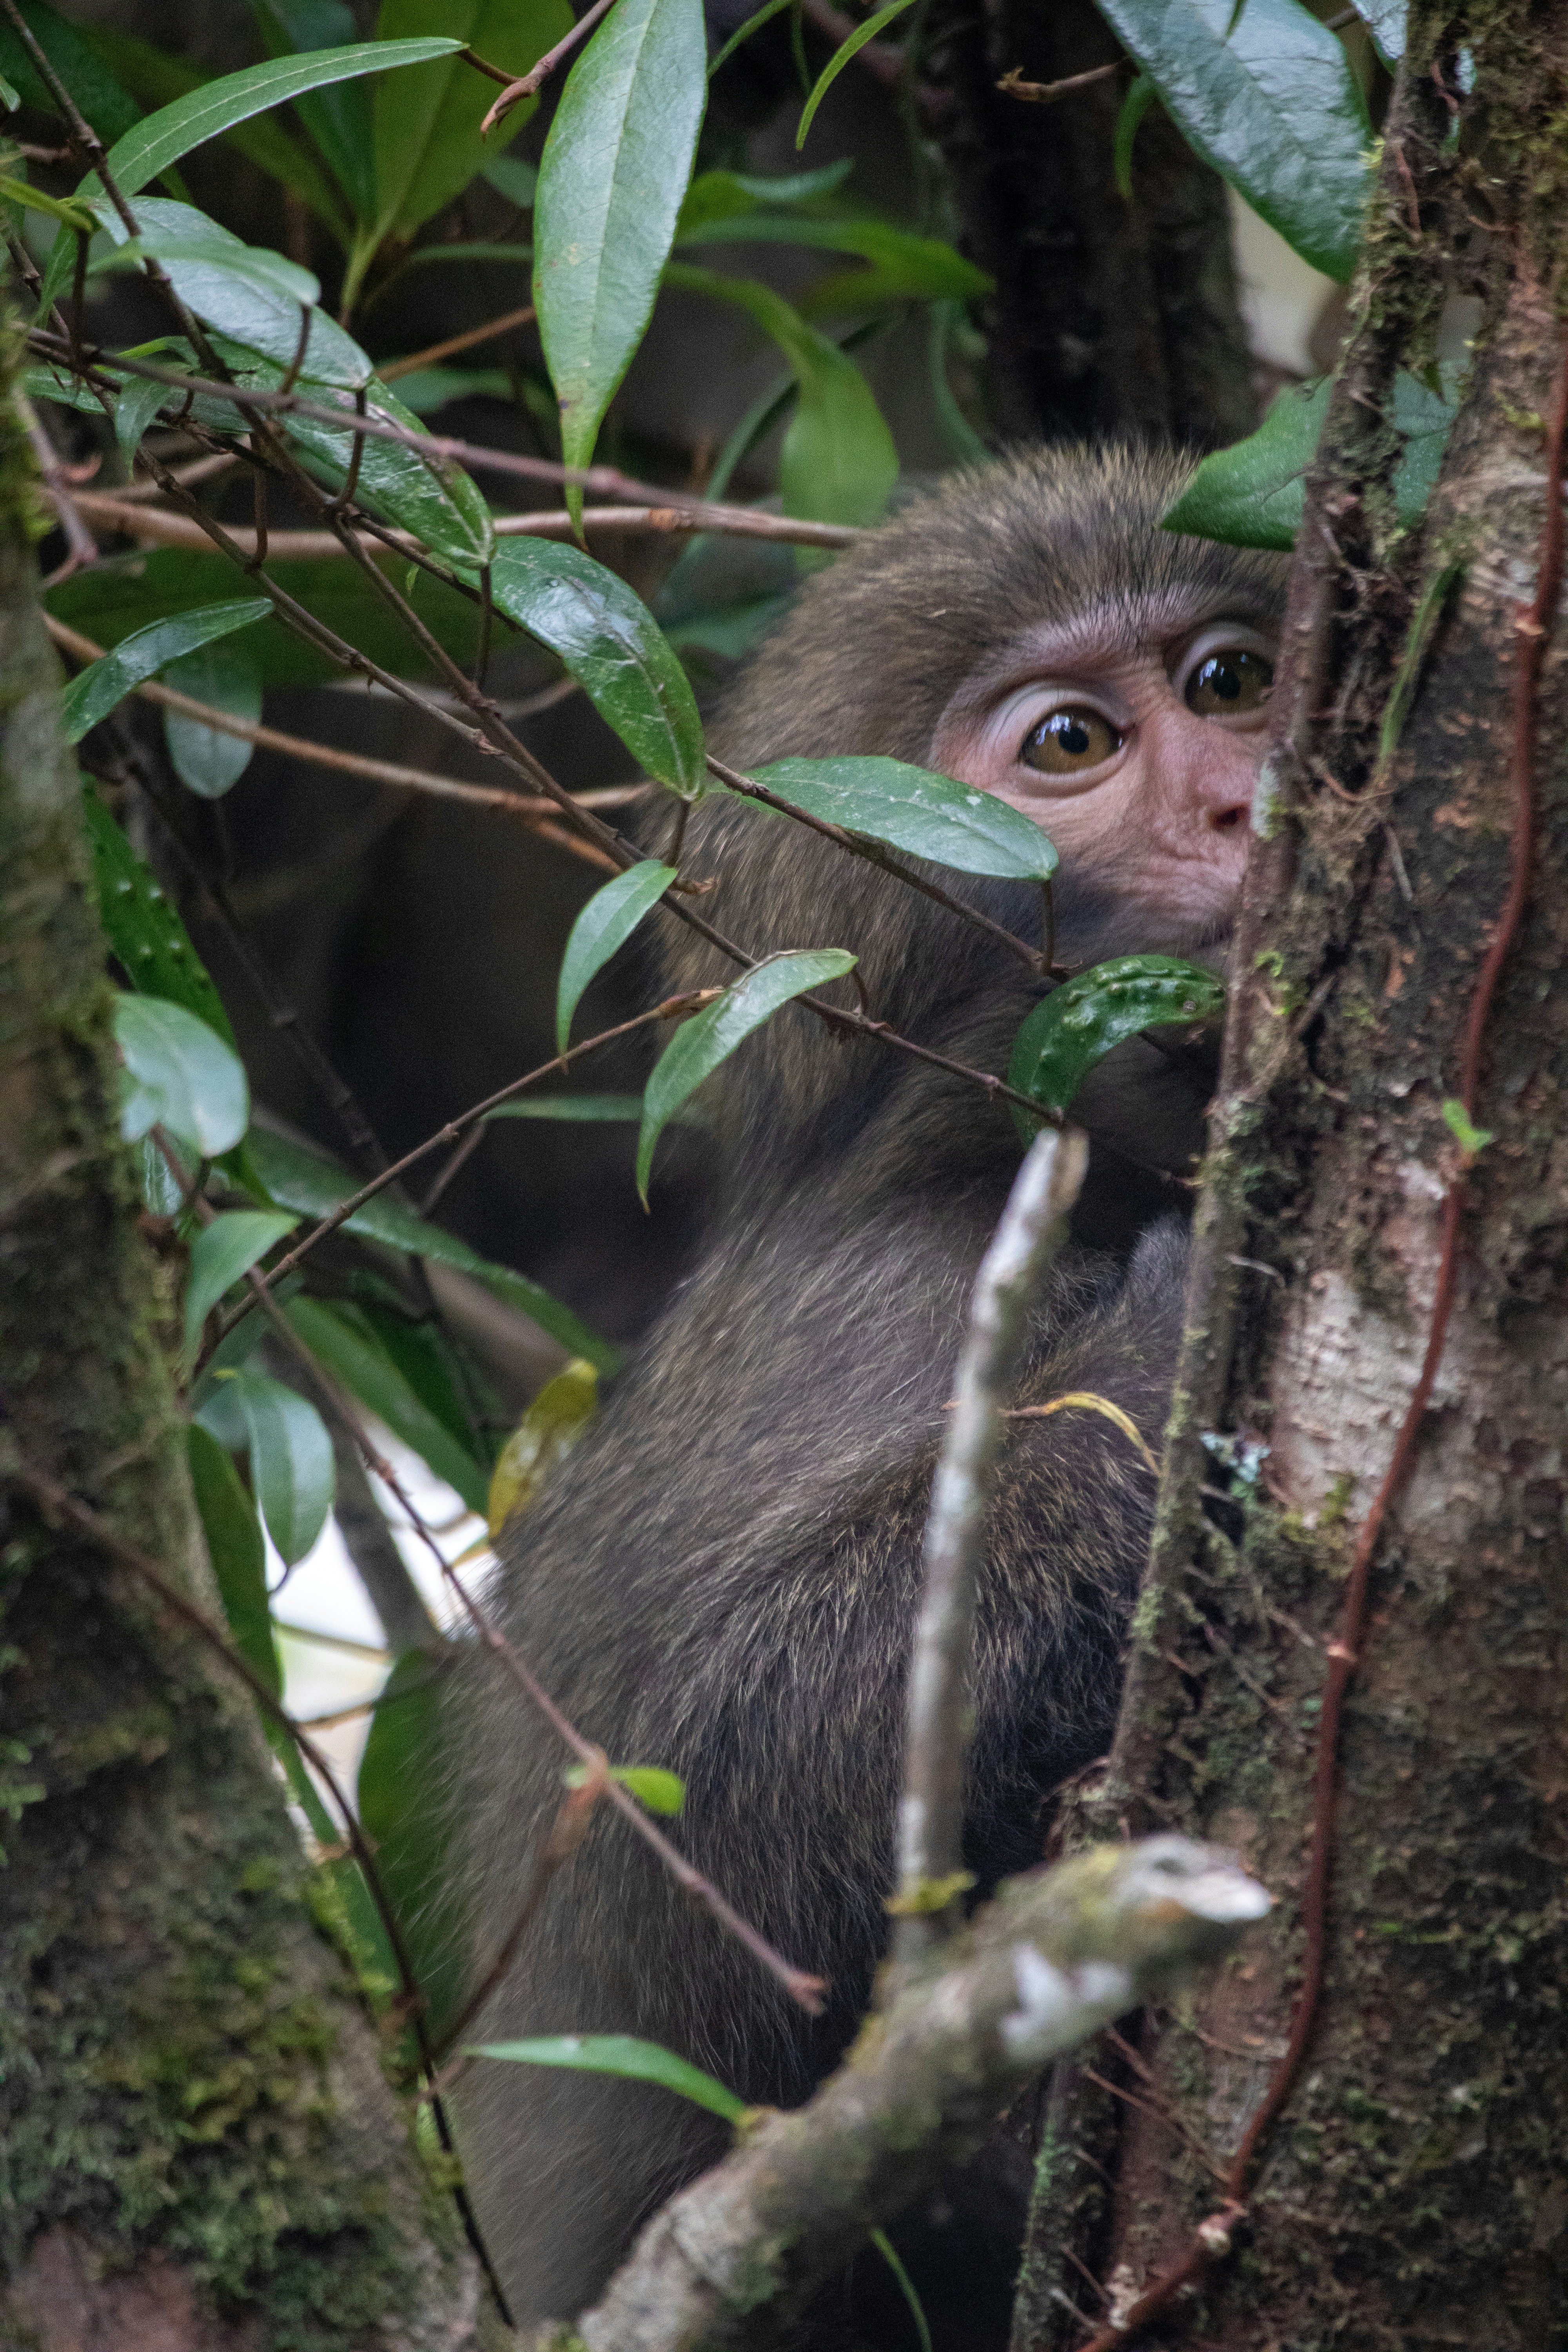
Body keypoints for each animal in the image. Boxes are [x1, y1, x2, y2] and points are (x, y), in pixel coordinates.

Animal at [449, 446, 1286, 2338]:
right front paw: (1148, 1374)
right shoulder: (878, 1294)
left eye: (1227, 680)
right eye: (1069, 743)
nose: (1245, 803)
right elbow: (696, 1854)